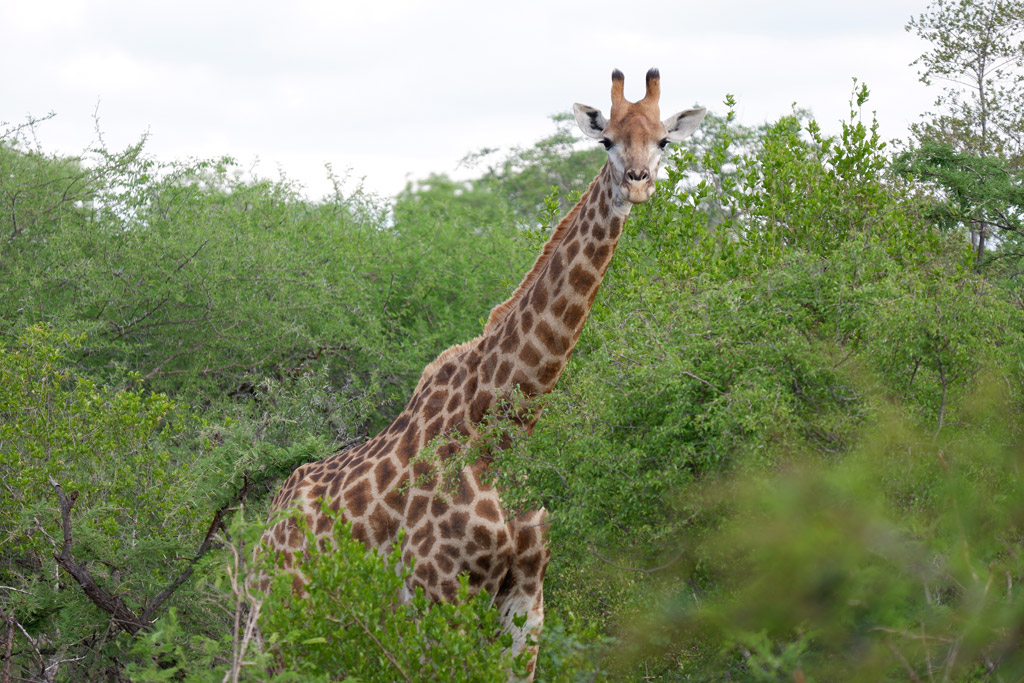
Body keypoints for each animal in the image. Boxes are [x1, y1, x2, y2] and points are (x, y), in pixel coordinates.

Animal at [260, 69, 704, 679]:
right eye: (606, 141)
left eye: (662, 141)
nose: (638, 184)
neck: (505, 432)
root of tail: (264, 524)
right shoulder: (440, 593)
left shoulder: (527, 598)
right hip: (281, 619)